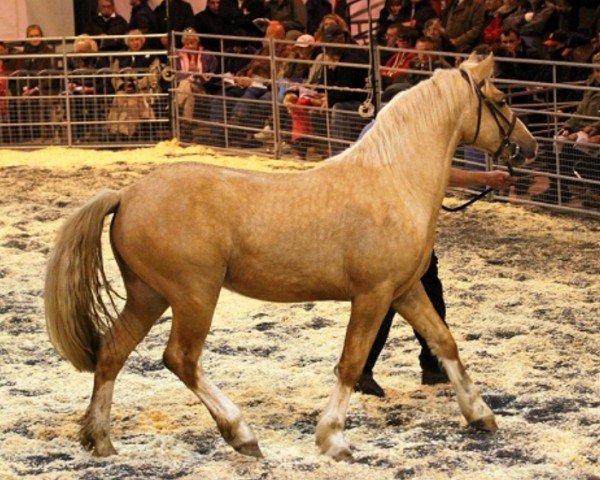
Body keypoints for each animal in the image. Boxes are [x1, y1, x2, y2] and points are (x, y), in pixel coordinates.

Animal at [44, 54, 536, 464]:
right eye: (501, 99)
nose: (529, 146)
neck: (394, 180)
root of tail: (126, 194)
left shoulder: (405, 290)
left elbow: (444, 342)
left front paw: (480, 415)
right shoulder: (372, 296)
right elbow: (351, 362)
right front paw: (333, 439)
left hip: (149, 296)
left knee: (112, 352)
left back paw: (101, 440)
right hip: (193, 295)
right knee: (180, 358)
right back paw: (241, 435)